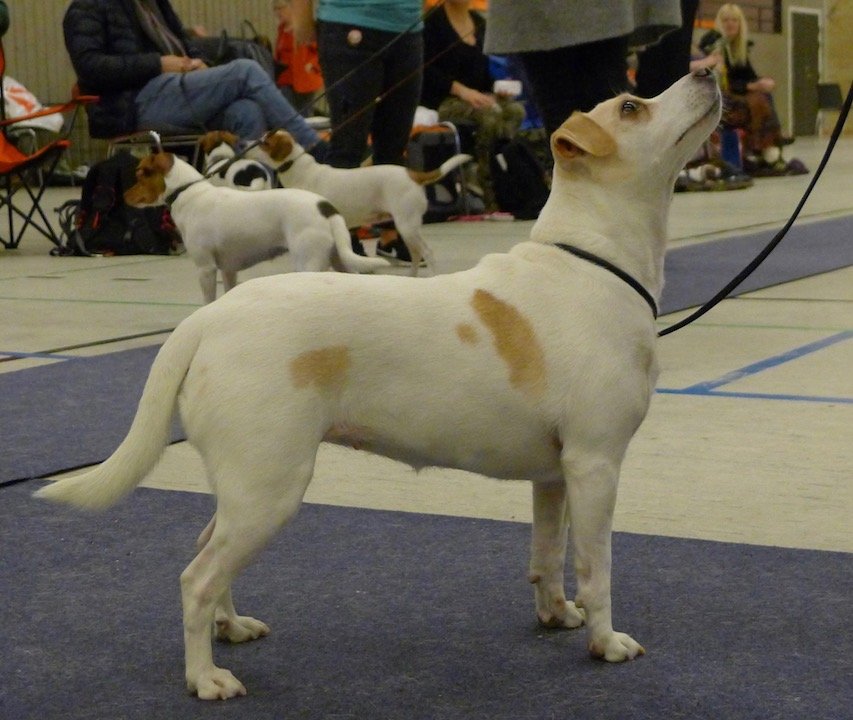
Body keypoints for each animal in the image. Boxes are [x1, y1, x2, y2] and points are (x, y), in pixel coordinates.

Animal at [123, 152, 389, 303]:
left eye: (141, 173)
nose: (124, 196)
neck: (187, 192)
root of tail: (325, 207)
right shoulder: (228, 269)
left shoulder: (206, 268)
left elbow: (208, 300)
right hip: (339, 259)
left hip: (308, 261)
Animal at [253, 129, 472, 275]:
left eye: (264, 142)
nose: (248, 142)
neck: (299, 169)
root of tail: (413, 175)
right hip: (407, 227)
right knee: (416, 254)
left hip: (407, 224)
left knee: (427, 252)